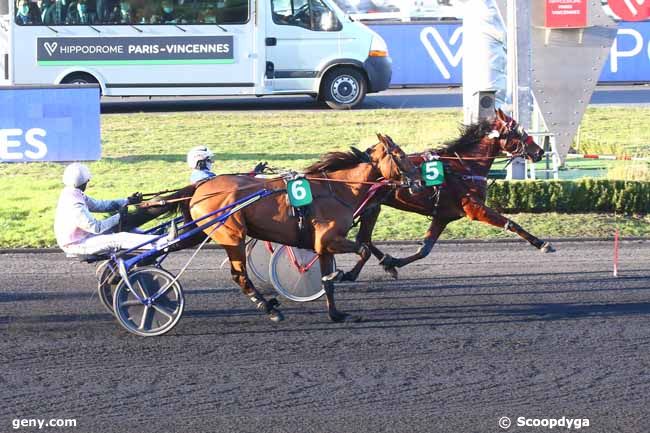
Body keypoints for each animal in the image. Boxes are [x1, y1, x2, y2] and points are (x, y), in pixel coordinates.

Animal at [182, 135, 420, 320]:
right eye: (400, 155)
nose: (418, 181)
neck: (338, 189)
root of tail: (199, 189)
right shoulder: (329, 239)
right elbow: (363, 250)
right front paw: (345, 275)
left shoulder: (323, 247)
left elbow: (328, 281)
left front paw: (336, 313)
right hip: (233, 237)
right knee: (239, 275)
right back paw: (269, 308)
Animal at [342, 109, 556, 280]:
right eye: (519, 132)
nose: (539, 151)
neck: (464, 166)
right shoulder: (474, 208)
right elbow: (511, 223)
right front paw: (543, 244)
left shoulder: (443, 216)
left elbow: (424, 249)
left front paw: (392, 262)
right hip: (369, 207)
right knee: (362, 239)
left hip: (372, 207)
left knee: (364, 239)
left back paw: (383, 263)